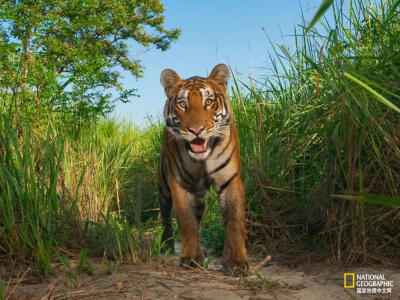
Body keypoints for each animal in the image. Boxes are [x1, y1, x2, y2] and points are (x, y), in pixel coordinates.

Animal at [157, 64, 247, 276]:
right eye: (182, 104)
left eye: (209, 102)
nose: (196, 130)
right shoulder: (179, 182)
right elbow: (186, 221)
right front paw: (190, 258)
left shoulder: (230, 180)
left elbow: (234, 221)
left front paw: (236, 261)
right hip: (164, 186)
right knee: (166, 216)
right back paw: (167, 245)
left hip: (198, 196)